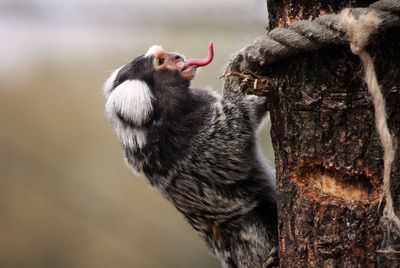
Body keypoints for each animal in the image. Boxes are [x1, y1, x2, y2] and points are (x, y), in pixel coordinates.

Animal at [104, 42, 278, 268]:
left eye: (165, 55)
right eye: (161, 61)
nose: (178, 57)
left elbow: (249, 115)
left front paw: (259, 96)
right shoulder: (194, 147)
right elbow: (234, 136)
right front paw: (233, 76)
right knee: (251, 225)